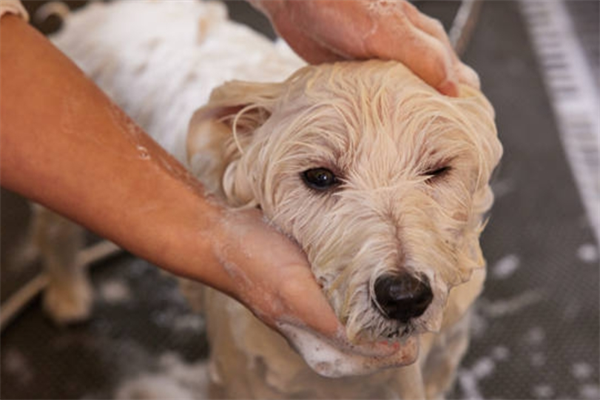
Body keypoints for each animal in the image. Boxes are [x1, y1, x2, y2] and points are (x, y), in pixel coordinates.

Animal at [21, 1, 504, 398]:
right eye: (320, 177)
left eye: (437, 170)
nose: (404, 295)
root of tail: (100, 13)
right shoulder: (241, 380)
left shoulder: (441, 362)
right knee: (53, 230)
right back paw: (67, 295)